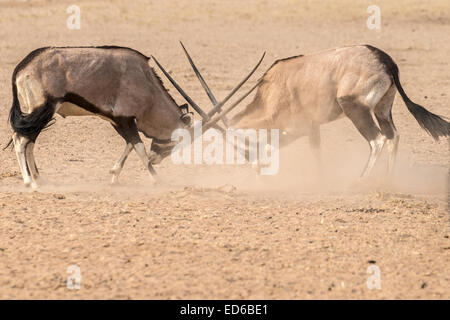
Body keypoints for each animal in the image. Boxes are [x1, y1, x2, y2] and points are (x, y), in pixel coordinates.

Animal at [7, 46, 264, 189]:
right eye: (176, 141)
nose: (155, 158)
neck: (146, 84)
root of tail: (22, 67)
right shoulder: (125, 118)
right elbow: (138, 145)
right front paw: (156, 178)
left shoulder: (118, 120)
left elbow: (130, 144)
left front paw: (114, 175)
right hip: (41, 111)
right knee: (21, 141)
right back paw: (30, 182)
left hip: (35, 114)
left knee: (28, 142)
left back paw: (38, 178)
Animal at [163, 43, 448, 178]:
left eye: (248, 151)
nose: (258, 172)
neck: (272, 89)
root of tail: (385, 60)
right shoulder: (310, 128)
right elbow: (315, 152)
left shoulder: (301, 128)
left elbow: (306, 152)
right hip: (382, 108)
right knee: (392, 137)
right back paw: (386, 181)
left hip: (355, 108)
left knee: (377, 140)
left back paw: (359, 181)